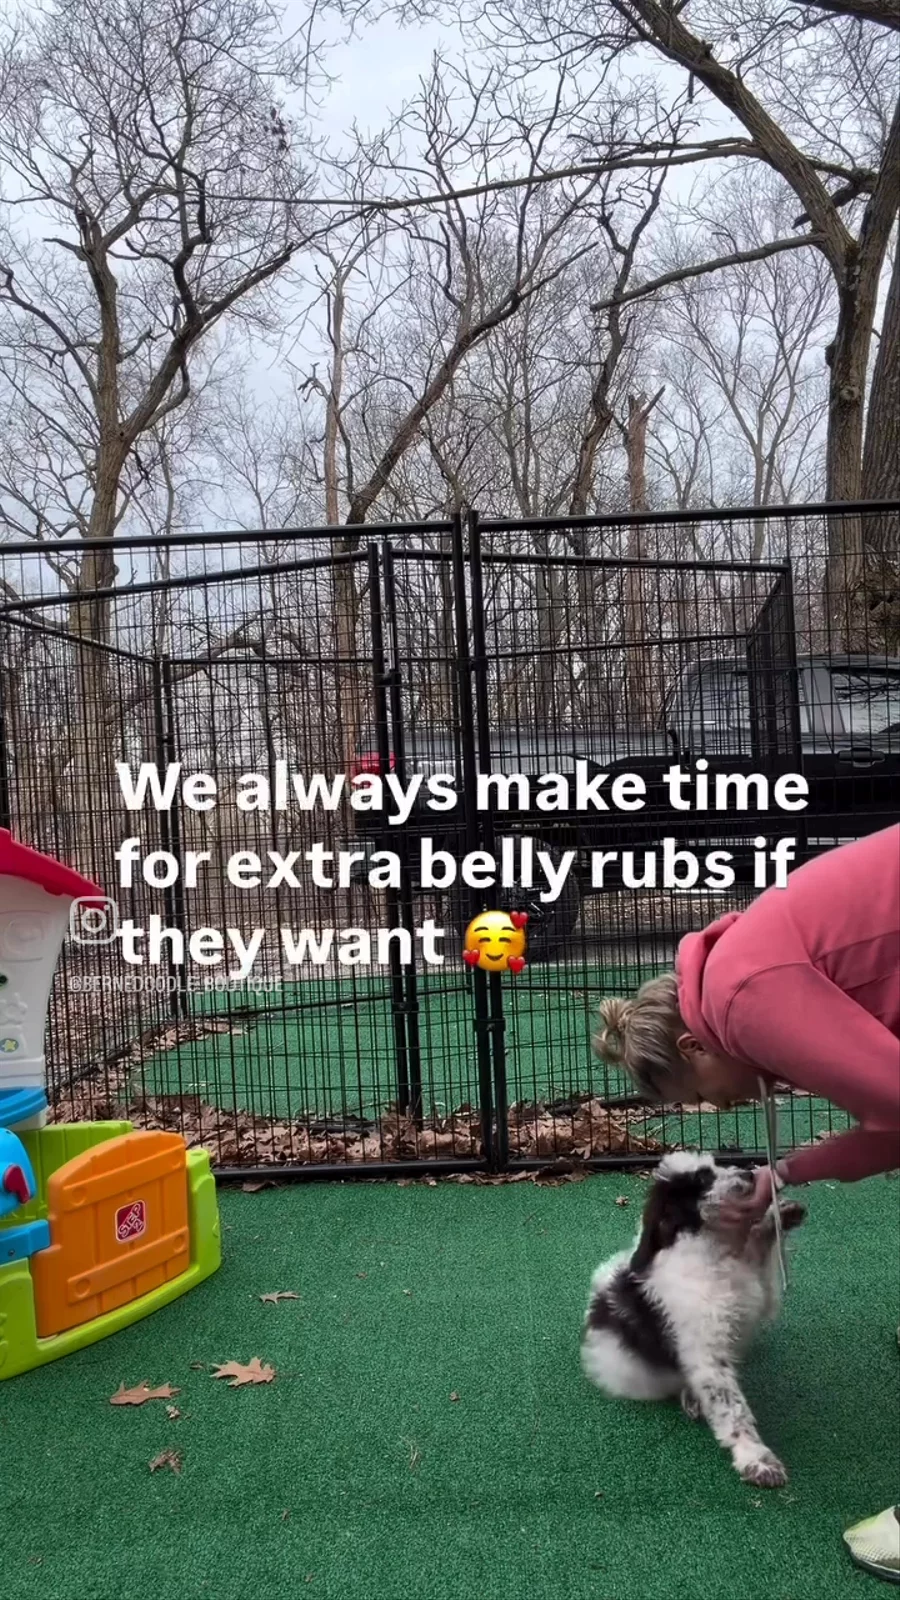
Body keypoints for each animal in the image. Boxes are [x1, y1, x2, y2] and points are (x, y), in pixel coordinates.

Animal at [581, 1150, 806, 1487]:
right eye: (702, 1179)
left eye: (715, 1166)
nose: (750, 1173)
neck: (714, 1251)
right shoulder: (706, 1352)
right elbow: (731, 1407)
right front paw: (755, 1458)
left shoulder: (760, 1293)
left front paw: (781, 1214)